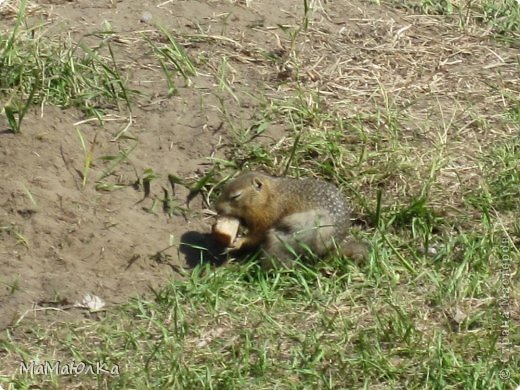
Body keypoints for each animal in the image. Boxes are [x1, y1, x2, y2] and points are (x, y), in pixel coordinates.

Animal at [213, 172, 368, 270]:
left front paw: (238, 242)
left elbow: (256, 235)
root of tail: (330, 249)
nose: (216, 208)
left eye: (236, 196)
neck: (269, 196)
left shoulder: (267, 217)